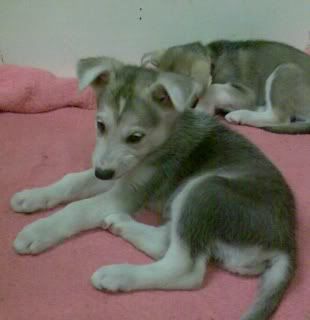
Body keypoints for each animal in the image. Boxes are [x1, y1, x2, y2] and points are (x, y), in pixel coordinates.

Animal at [10, 57, 296, 320]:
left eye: (135, 137)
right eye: (100, 125)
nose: (102, 173)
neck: (161, 142)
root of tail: (286, 245)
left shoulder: (125, 193)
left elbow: (77, 208)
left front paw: (38, 231)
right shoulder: (118, 175)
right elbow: (70, 181)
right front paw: (32, 197)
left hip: (203, 189)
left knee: (185, 269)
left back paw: (117, 274)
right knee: (166, 242)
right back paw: (120, 224)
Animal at [142, 40, 310, 134]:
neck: (213, 61)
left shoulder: (246, 93)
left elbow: (213, 89)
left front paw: (201, 110)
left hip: (286, 71)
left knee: (280, 118)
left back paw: (239, 115)